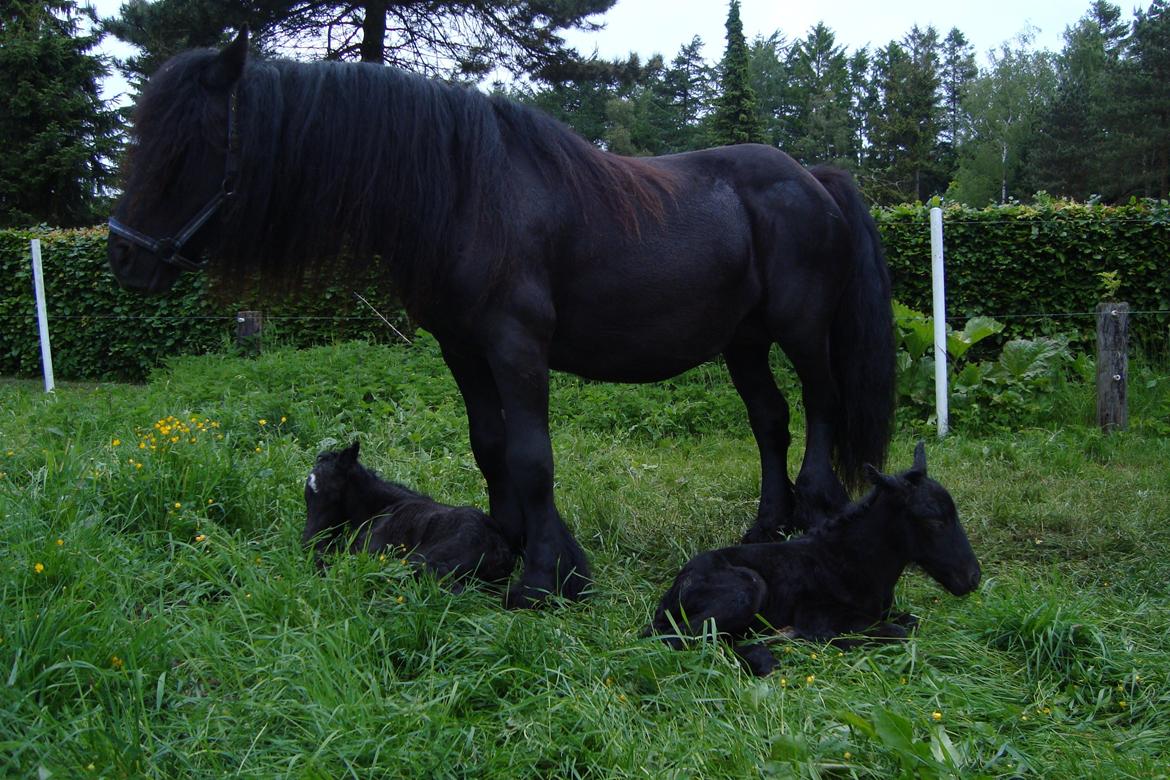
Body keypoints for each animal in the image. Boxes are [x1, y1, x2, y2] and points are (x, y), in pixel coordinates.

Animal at [303, 441, 518, 588]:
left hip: (424, 561)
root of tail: (500, 551)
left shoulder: (365, 549)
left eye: (330, 491)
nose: (309, 541)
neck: (381, 508)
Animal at [644, 442, 981, 676]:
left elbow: (910, 622)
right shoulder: (819, 613)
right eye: (932, 520)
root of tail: (673, 590)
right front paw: (832, 640)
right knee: (678, 637)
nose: (973, 577)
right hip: (747, 588)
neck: (853, 560)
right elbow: (897, 633)